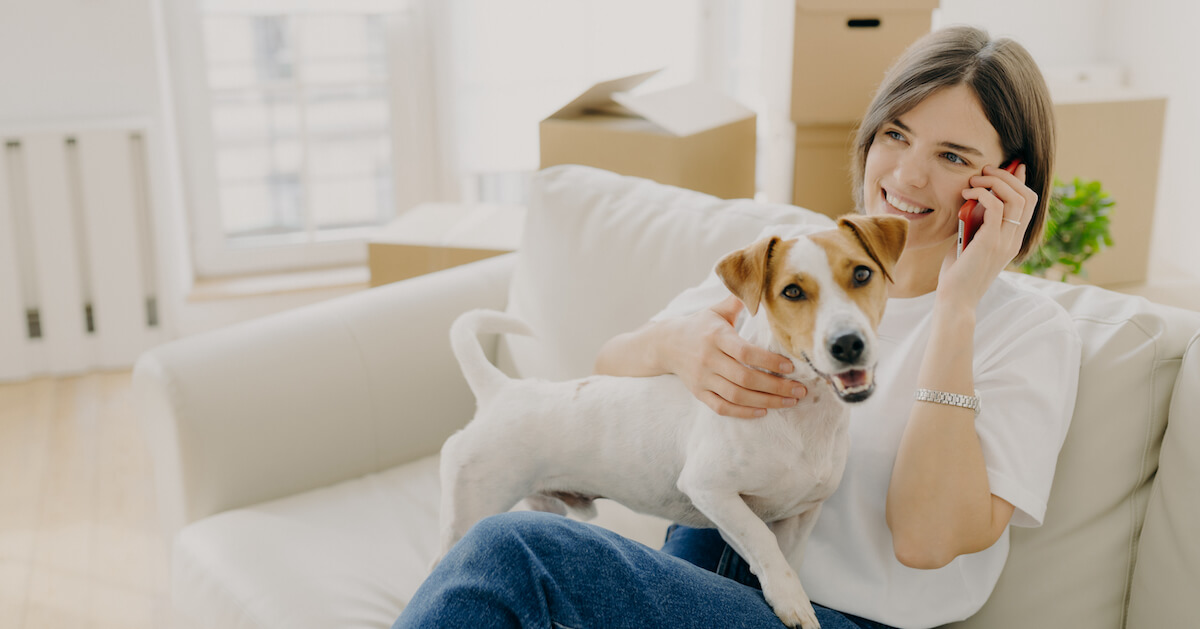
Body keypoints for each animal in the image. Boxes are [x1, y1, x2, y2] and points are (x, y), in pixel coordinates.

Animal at [436, 213, 902, 624]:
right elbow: (762, 540)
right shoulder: (709, 488)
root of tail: (500, 390)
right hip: (472, 509)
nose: (847, 343)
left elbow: (786, 556)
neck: (803, 418)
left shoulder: (801, 515)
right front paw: (792, 601)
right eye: (792, 292)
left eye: (862, 274)